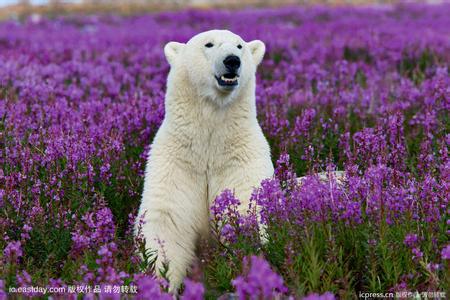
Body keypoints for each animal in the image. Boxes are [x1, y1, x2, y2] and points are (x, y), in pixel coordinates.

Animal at [137, 29, 272, 290]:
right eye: (209, 44)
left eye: (239, 46)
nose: (232, 61)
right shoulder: (179, 161)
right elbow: (168, 222)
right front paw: (161, 282)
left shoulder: (239, 157)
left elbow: (244, 209)